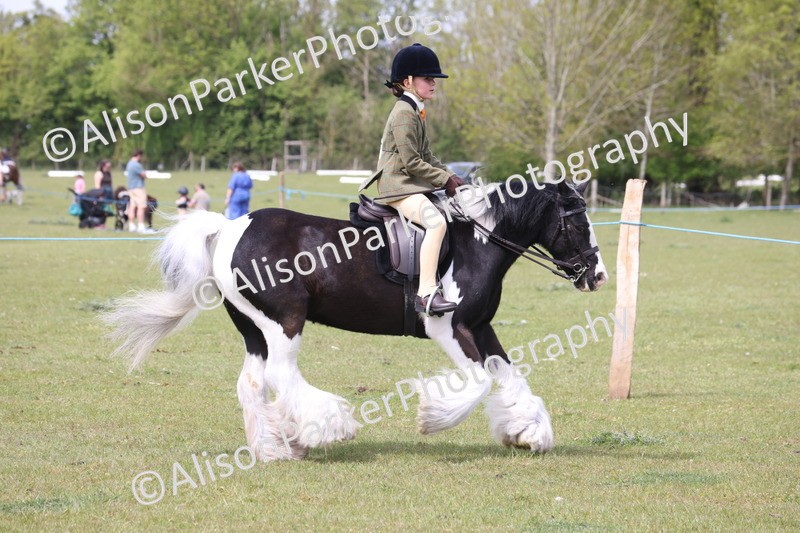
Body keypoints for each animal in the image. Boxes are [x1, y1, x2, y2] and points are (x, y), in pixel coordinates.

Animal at [104, 178, 608, 461]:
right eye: (580, 223)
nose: (598, 275)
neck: (476, 243)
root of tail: (229, 227)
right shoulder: (448, 326)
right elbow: (482, 381)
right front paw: (432, 418)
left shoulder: (481, 327)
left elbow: (510, 375)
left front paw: (528, 432)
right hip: (284, 321)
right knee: (282, 375)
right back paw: (324, 429)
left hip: (255, 329)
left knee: (252, 384)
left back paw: (274, 449)